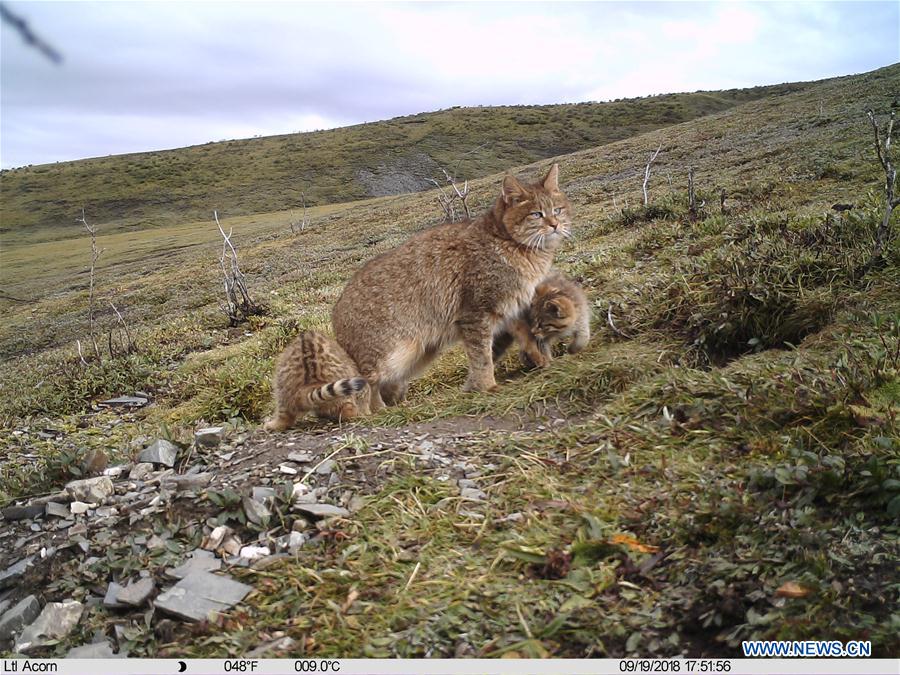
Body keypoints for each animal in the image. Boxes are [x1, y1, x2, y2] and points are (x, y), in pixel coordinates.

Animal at [330, 164, 568, 412]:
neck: (509, 242)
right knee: (365, 383)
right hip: (391, 356)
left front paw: (543, 362)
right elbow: (482, 357)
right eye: (536, 214)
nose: (555, 224)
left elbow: (526, 339)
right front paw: (487, 387)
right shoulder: (475, 313)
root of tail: (335, 313)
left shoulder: (509, 308)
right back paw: (376, 411)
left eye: (558, 210)